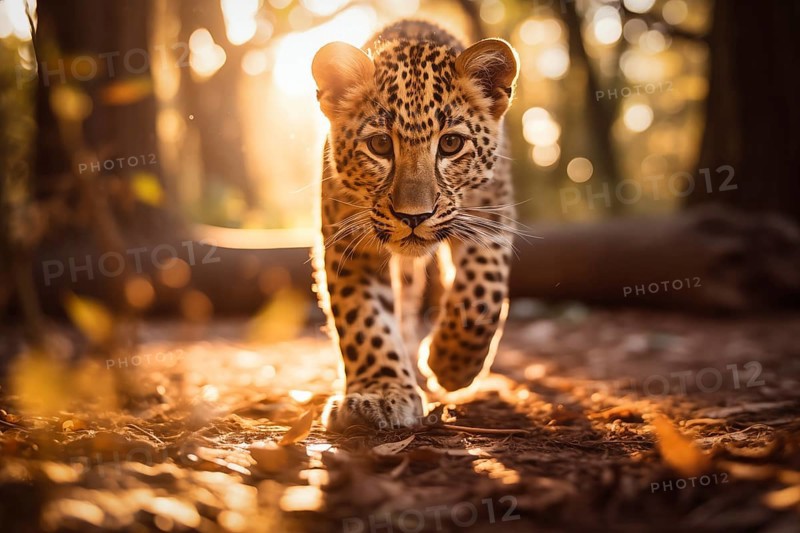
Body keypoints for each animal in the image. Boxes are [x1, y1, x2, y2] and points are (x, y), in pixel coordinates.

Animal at [311, 20, 519, 431]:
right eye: (379, 145)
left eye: (451, 144)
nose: (413, 216)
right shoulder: (349, 242)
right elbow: (363, 319)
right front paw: (380, 393)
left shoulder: (491, 218)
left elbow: (481, 292)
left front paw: (452, 365)